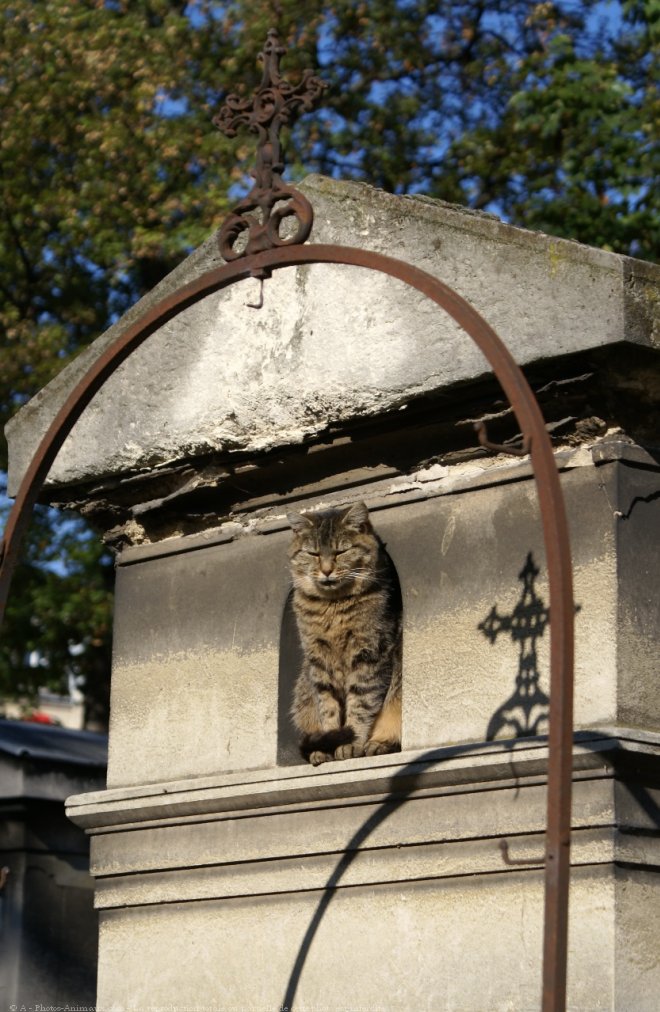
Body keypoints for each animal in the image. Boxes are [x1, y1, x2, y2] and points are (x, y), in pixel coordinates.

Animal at [287, 501, 402, 761]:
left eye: (341, 552)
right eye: (314, 554)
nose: (327, 570)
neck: (333, 606)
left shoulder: (370, 655)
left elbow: (361, 704)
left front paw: (351, 743)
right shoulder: (318, 661)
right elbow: (327, 707)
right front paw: (329, 744)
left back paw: (378, 744)